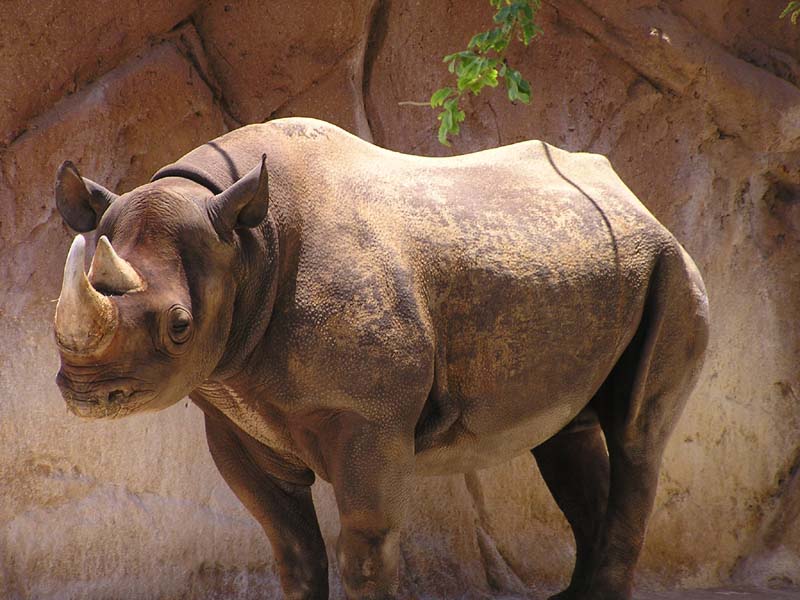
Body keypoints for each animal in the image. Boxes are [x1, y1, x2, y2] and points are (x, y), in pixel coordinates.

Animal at [53, 118, 709, 600]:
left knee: (637, 435)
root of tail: (636, 199)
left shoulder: (371, 416)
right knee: (568, 432)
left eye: (180, 326)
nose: (84, 393)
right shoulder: (230, 413)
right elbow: (291, 547)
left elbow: (366, 546)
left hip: (673, 269)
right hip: (594, 262)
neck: (244, 244)